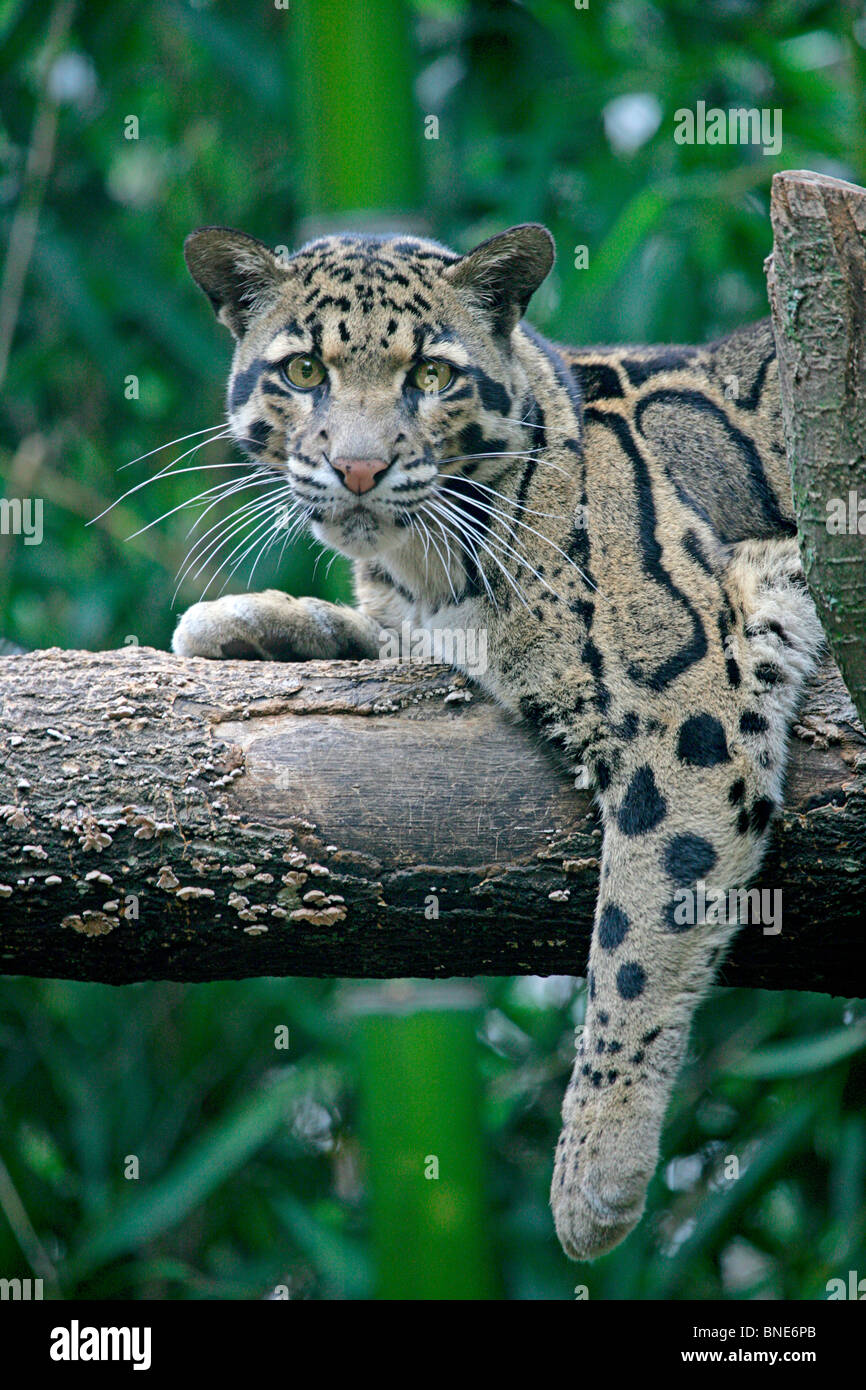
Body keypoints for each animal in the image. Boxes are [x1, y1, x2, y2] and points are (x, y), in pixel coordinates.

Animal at [172, 222, 824, 1261]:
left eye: (432, 375)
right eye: (305, 370)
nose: (359, 468)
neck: (426, 564)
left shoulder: (692, 705)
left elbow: (638, 928)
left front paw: (596, 1165)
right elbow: (373, 635)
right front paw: (248, 621)